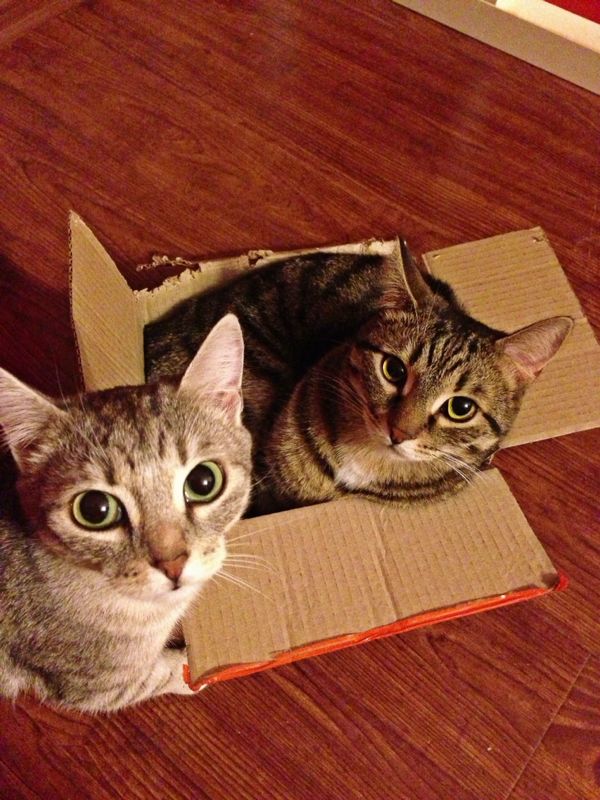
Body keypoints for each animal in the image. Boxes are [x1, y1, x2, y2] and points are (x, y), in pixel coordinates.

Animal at [0, 314, 252, 712]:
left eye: (204, 481)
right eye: (95, 509)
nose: (173, 565)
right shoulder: (97, 684)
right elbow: (163, 675)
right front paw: (190, 669)